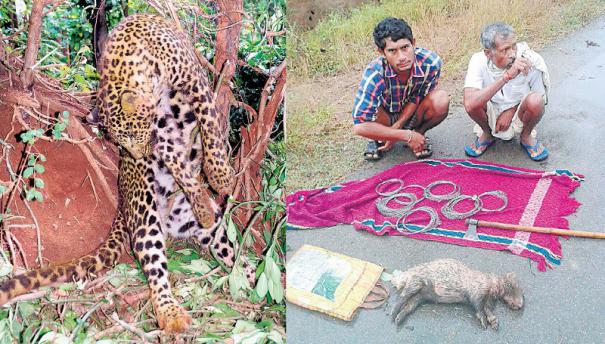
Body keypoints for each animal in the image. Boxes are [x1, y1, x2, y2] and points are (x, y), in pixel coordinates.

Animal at [0, 13, 252, 334]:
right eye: (121, 141)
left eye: (132, 134)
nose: (138, 157)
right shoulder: (163, 133)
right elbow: (178, 161)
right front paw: (202, 188)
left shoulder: (194, 83)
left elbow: (209, 122)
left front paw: (219, 176)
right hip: (144, 215)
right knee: (156, 268)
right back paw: (171, 314)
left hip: (210, 230)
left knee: (227, 247)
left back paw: (252, 273)